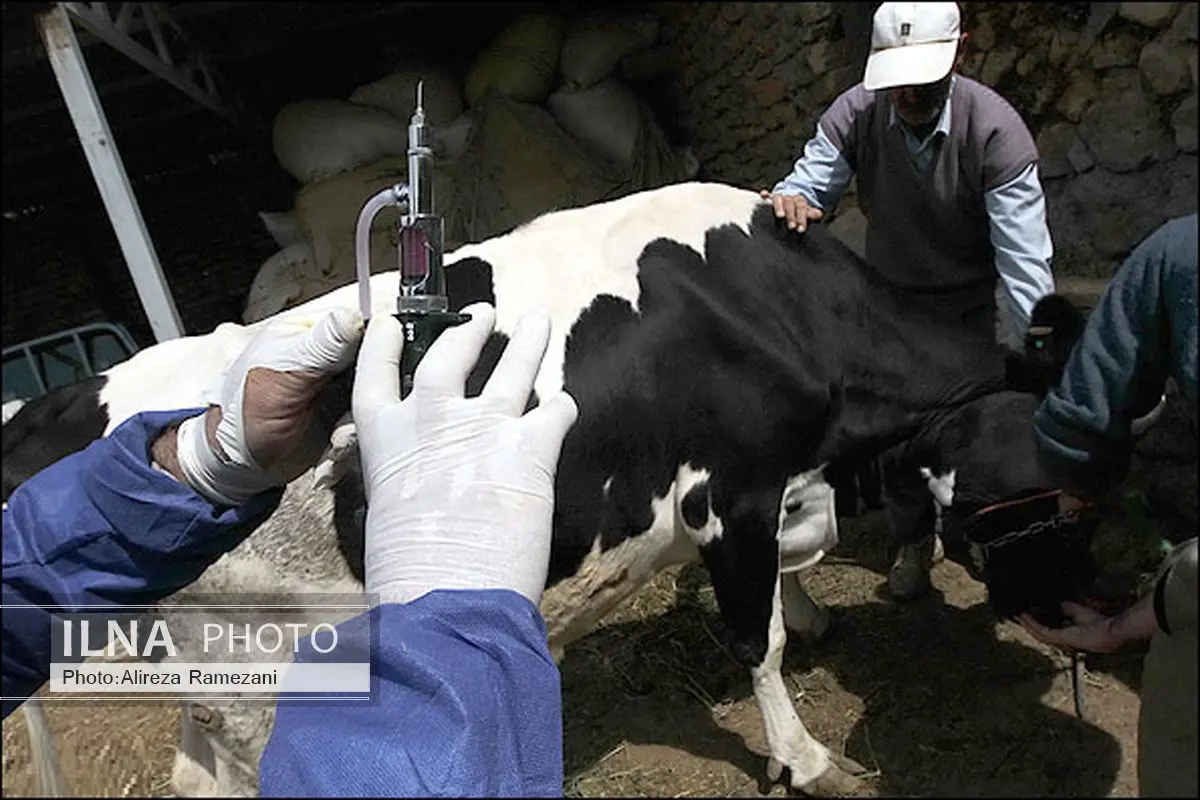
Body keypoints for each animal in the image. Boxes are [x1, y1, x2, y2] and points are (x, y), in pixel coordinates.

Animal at [4, 184, 1113, 796]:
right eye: (1036, 507)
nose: (1081, 627)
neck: (777, 306)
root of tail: (58, 402)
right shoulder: (730, 491)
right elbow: (756, 640)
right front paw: (804, 756)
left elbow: (788, 584)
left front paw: (815, 613)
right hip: (263, 676)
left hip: (219, 686)